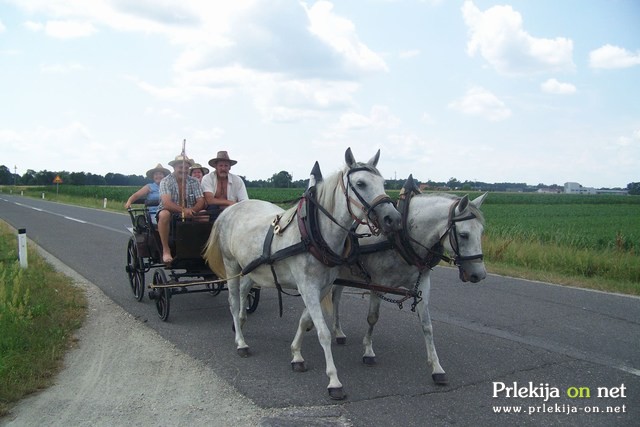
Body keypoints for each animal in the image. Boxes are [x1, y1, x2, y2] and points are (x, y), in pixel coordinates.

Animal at [202, 148, 402, 402]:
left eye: (384, 183)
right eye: (361, 183)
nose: (393, 219)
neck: (315, 233)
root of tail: (230, 209)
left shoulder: (321, 287)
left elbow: (306, 321)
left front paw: (296, 354)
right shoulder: (308, 287)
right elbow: (323, 332)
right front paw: (334, 381)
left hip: (250, 267)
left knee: (245, 293)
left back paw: (241, 321)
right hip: (231, 266)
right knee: (233, 300)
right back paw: (240, 342)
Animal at [328, 179, 488, 386]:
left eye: (481, 232)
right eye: (464, 235)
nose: (479, 274)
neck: (402, 238)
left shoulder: (422, 286)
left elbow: (427, 325)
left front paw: (436, 367)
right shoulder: (377, 283)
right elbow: (373, 318)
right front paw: (369, 351)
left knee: (336, 297)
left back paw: (338, 332)